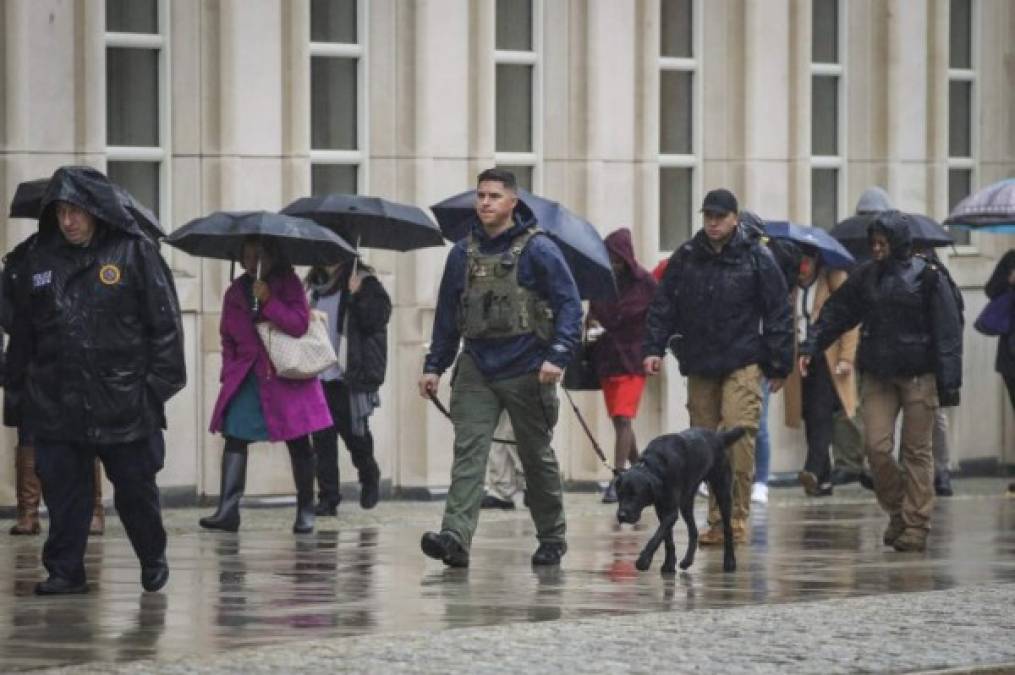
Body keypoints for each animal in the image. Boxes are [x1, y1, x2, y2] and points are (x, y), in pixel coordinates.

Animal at [609, 426, 747, 572]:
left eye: (635, 495)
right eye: (620, 494)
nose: (621, 516)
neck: (654, 465)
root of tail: (718, 437)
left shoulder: (670, 512)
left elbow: (657, 535)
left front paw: (644, 560)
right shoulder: (661, 510)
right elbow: (667, 538)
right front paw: (669, 564)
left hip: (723, 492)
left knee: (728, 529)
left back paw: (730, 561)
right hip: (686, 502)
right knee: (693, 531)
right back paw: (687, 560)